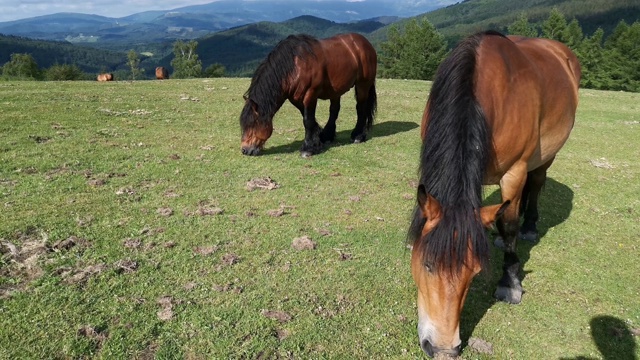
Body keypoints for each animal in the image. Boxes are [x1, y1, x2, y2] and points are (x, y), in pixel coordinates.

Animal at [242, 33, 378, 157]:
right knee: (334, 110)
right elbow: (308, 118)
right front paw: (317, 139)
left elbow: (307, 120)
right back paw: (327, 136)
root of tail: (365, 43)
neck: (295, 66)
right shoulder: (296, 98)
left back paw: (358, 136)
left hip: (363, 85)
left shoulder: (310, 95)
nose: (245, 150)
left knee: (360, 108)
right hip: (336, 90)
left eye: (253, 123)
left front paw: (308, 148)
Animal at [408, 31, 584, 358]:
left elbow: (511, 225)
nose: (443, 349)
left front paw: (509, 283)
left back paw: (530, 225)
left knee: (535, 183)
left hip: (546, 155)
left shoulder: (514, 172)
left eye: (475, 273)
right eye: (427, 265)